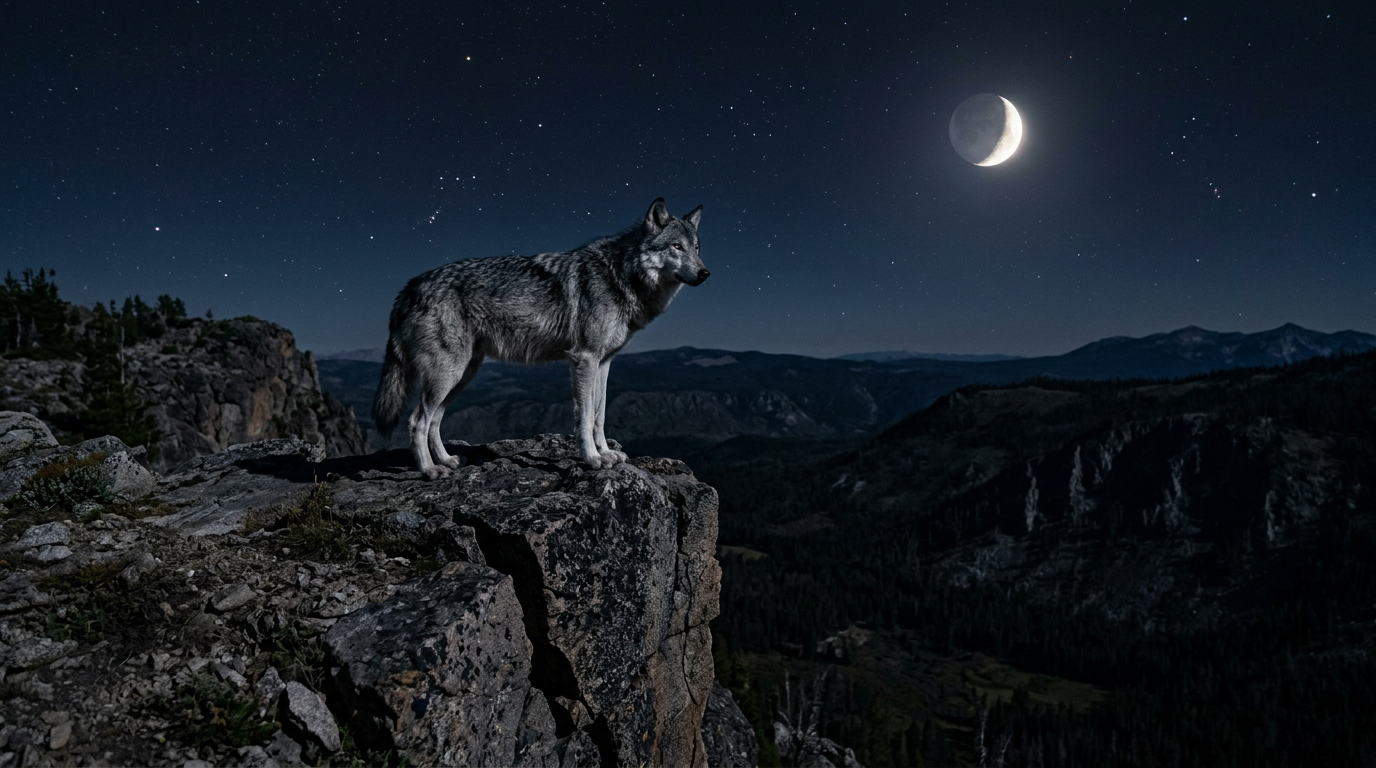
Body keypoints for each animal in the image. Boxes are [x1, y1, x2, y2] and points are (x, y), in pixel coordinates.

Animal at [372, 198, 708, 479]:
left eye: (696, 248)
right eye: (676, 247)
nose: (705, 274)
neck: (622, 275)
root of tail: (409, 288)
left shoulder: (604, 362)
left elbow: (599, 416)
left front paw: (607, 453)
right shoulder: (584, 359)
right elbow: (584, 416)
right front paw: (592, 459)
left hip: (461, 376)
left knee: (434, 421)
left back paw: (447, 461)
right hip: (447, 375)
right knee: (417, 421)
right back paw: (429, 470)